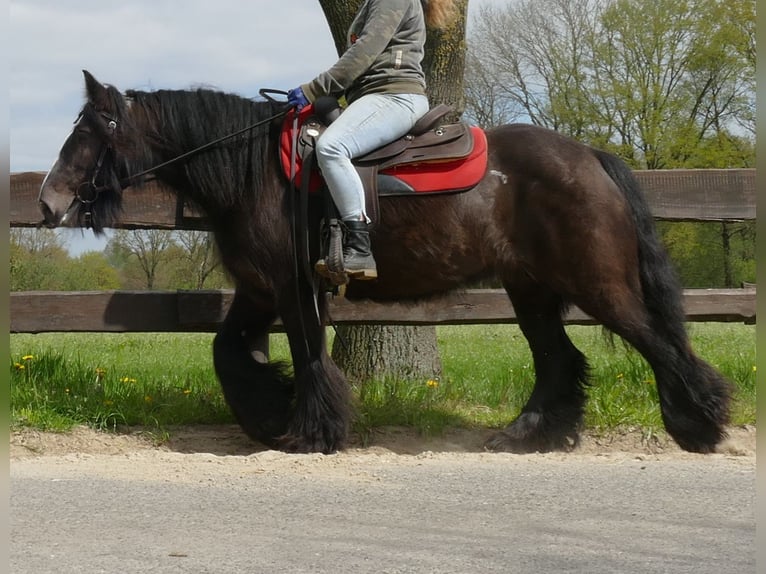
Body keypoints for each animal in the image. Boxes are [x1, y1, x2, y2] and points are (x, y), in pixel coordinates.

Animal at [39, 72, 736, 456]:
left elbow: (309, 356)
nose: (48, 201)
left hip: (599, 286)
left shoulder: (293, 291)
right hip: (532, 291)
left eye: (91, 132)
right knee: (559, 359)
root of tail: (590, 157)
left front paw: (311, 430)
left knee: (660, 344)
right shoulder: (258, 292)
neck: (257, 174)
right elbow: (228, 352)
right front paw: (268, 410)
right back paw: (528, 434)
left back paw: (700, 424)